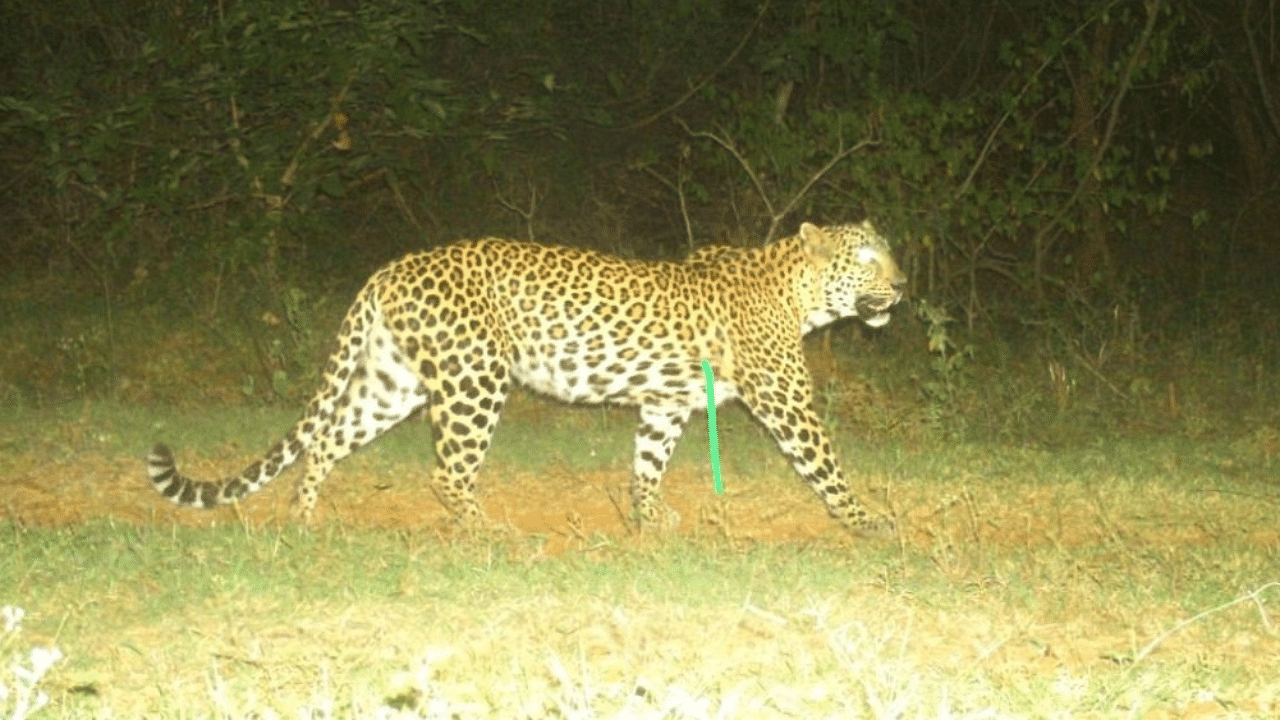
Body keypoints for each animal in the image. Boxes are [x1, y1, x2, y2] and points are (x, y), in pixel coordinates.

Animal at [147, 219, 911, 532]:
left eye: (889, 254)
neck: (799, 294)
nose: (903, 286)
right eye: (866, 258)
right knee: (447, 471)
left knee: (328, 439)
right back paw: (487, 530)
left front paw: (649, 516)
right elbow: (828, 467)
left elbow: (648, 463)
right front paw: (868, 521)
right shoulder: (786, 401)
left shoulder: (665, 403)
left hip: (394, 381)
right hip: (474, 378)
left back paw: (303, 516)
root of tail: (390, 267)